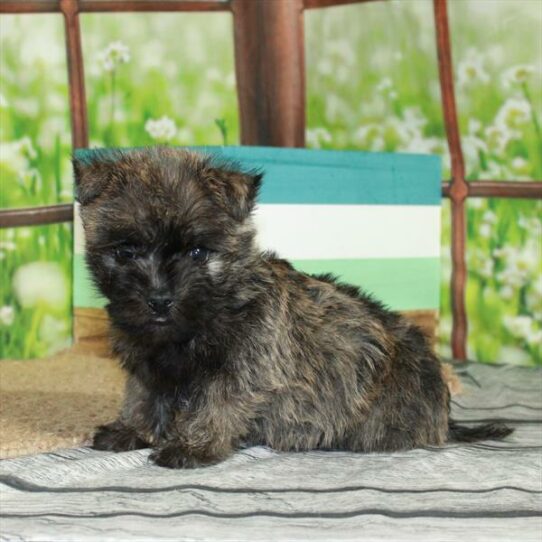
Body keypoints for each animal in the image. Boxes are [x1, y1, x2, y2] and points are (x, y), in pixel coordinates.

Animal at [73, 147, 516, 470]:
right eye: (126, 251)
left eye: (198, 252)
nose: (160, 299)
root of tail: (445, 418)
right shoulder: (146, 367)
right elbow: (142, 398)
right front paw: (132, 430)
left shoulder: (242, 370)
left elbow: (216, 405)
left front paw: (192, 447)